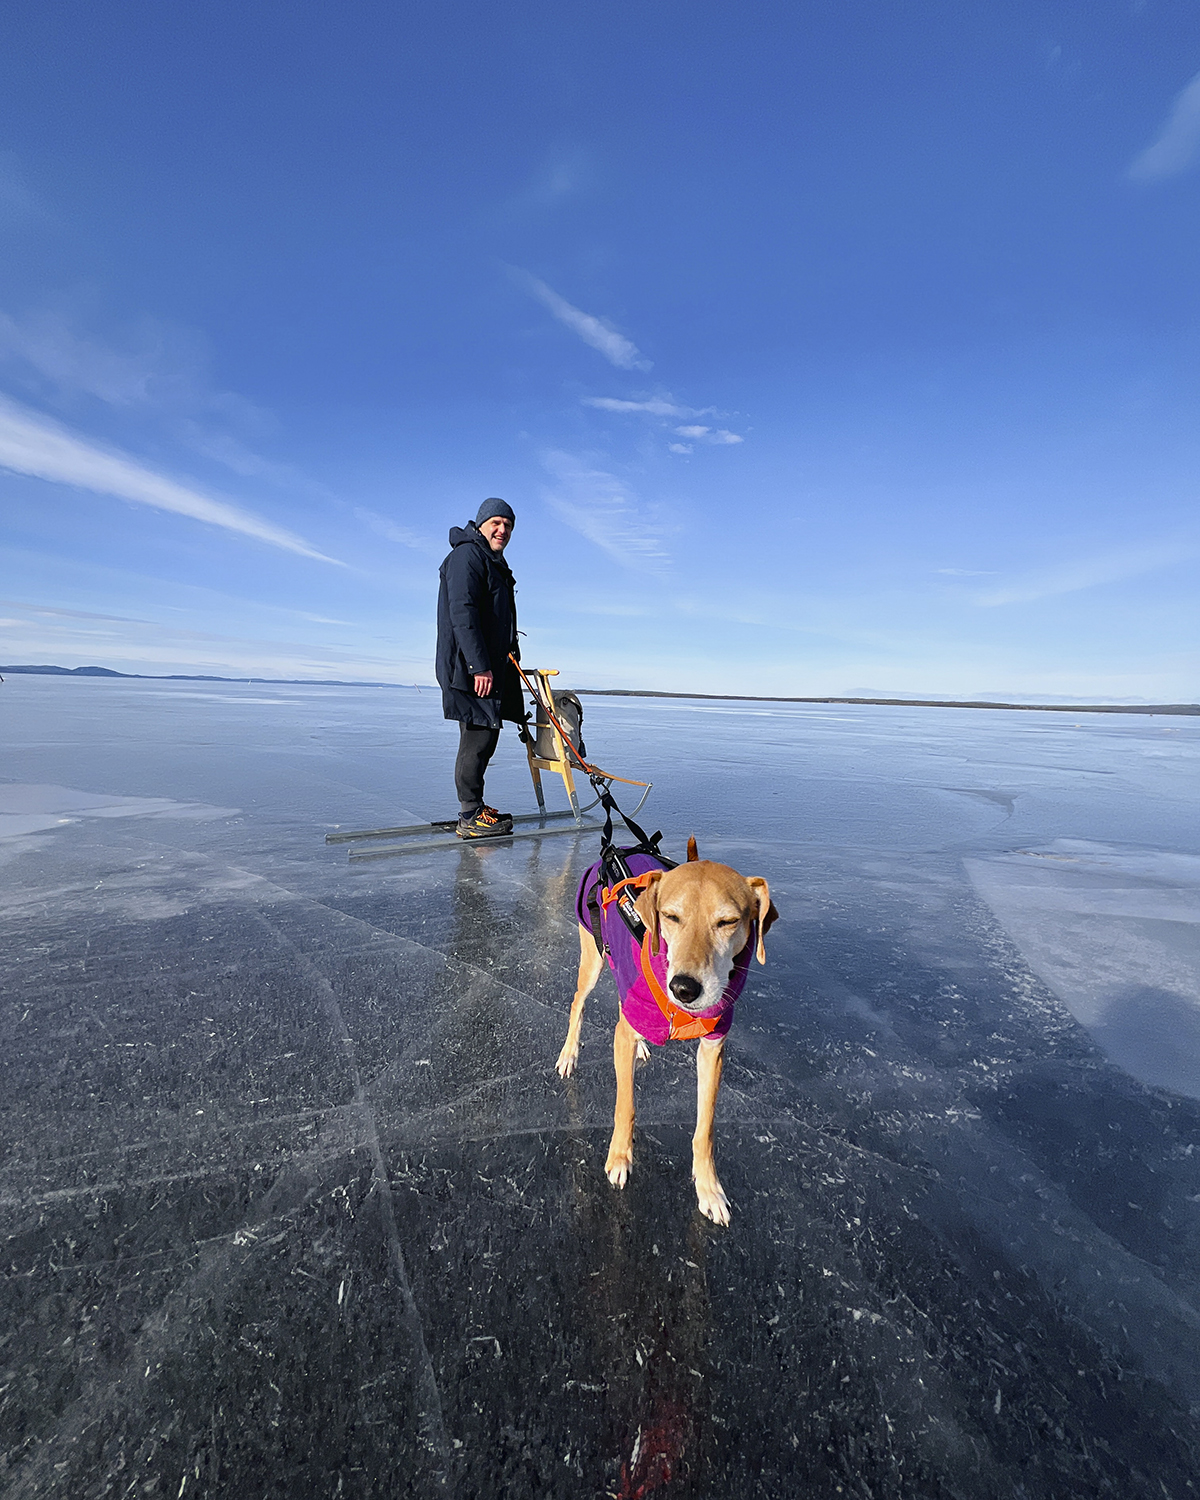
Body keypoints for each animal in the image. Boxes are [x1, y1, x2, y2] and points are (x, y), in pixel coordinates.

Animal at [555, 840, 780, 1224]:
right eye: (671, 917)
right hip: (593, 959)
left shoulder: (713, 1048)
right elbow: (625, 1105)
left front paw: (708, 1187)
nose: (684, 988)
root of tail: (618, 847)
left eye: (728, 921)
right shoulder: (624, 1033)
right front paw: (620, 1157)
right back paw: (570, 1053)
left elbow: (705, 1127)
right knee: (577, 1004)